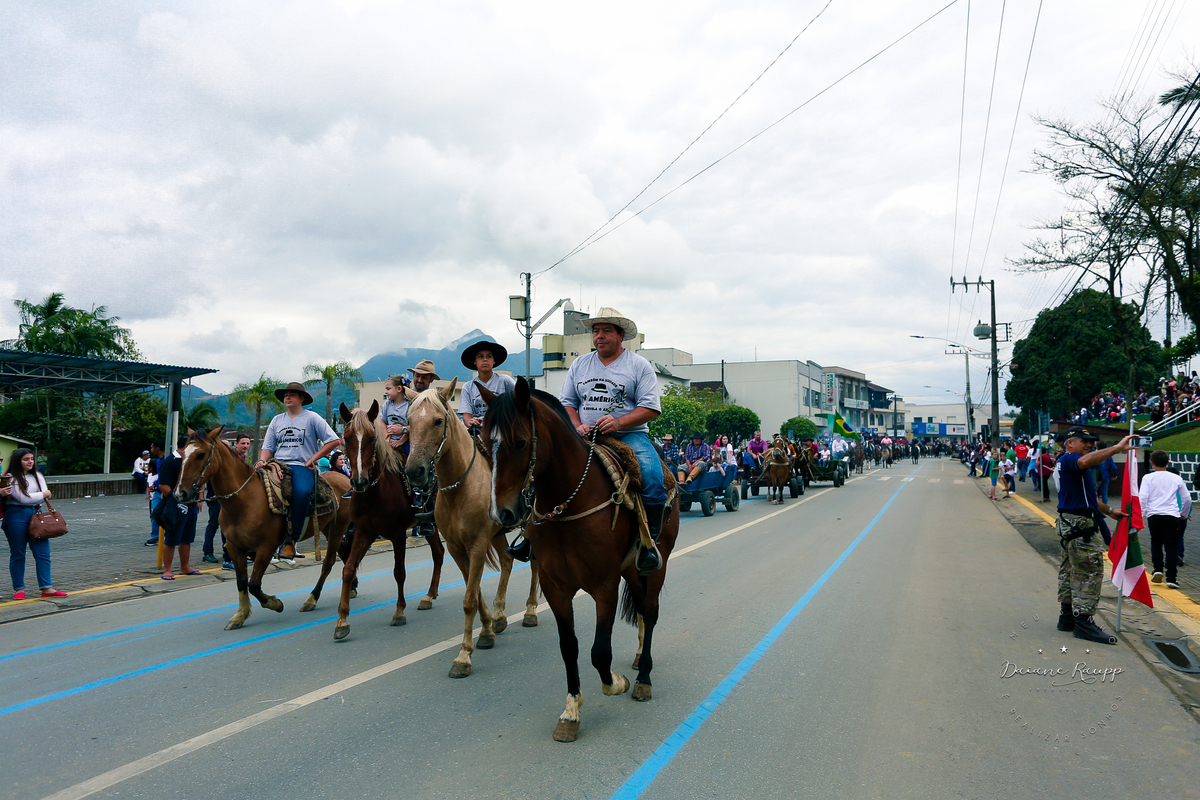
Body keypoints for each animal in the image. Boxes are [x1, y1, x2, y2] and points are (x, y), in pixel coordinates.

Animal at [176, 426, 353, 631]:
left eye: (201, 454)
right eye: (182, 454)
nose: (180, 493)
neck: (244, 501)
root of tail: (344, 479)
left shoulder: (266, 547)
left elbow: (253, 584)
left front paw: (275, 603)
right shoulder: (235, 547)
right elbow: (242, 582)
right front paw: (240, 615)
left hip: (338, 527)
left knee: (329, 562)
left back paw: (312, 599)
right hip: (327, 528)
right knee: (344, 554)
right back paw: (352, 588)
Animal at [317, 401, 447, 640]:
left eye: (371, 438)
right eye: (346, 438)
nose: (359, 481)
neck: (374, 494)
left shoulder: (398, 534)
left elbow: (399, 572)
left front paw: (399, 612)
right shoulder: (363, 531)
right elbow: (348, 569)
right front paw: (342, 620)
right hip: (429, 526)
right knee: (438, 553)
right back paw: (429, 595)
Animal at [404, 379, 540, 678]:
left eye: (438, 421)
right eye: (408, 422)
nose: (415, 471)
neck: (460, 486)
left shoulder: (476, 545)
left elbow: (468, 600)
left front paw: (463, 657)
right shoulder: (457, 547)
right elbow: (473, 591)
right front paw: (488, 629)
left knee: (536, 565)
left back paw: (530, 611)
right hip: (498, 535)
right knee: (507, 562)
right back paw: (500, 616)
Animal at [481, 378, 680, 743]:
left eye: (520, 443)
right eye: (487, 443)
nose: (502, 513)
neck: (569, 503)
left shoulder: (604, 586)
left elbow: (599, 652)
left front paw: (616, 682)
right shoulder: (555, 587)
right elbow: (569, 647)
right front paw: (571, 711)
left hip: (658, 564)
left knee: (650, 611)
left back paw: (643, 677)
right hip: (631, 570)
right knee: (641, 608)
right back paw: (637, 659)